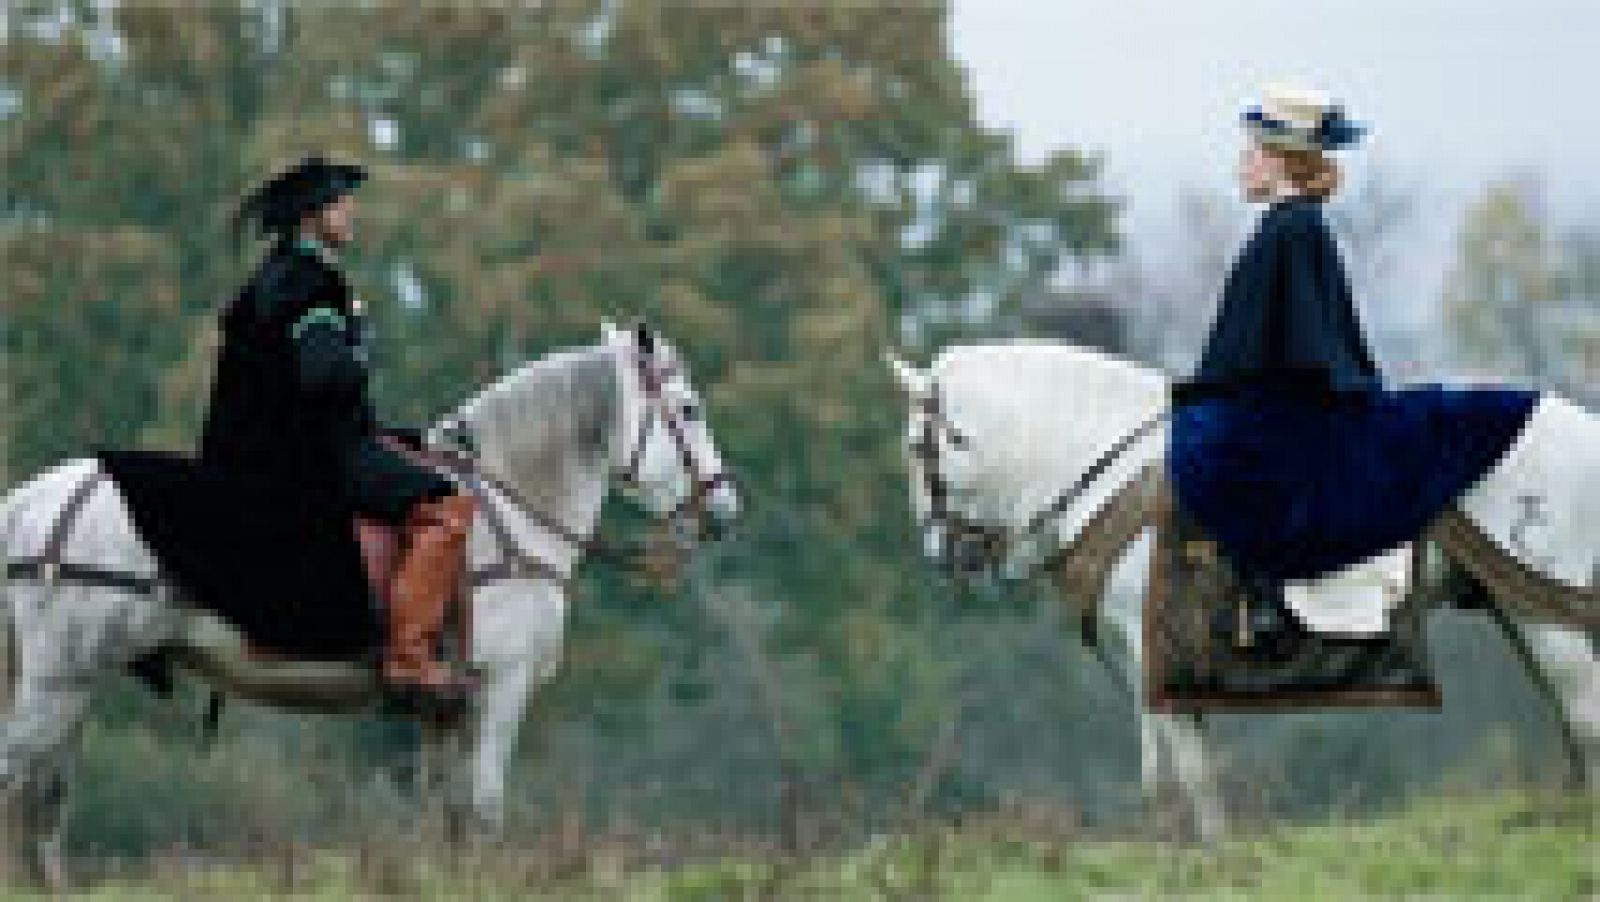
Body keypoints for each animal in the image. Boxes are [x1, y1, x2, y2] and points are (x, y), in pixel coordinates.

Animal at [0, 319, 736, 882]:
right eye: (689, 410)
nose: (726, 510)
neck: (508, 510)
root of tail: (37, 498)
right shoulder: (502, 687)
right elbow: (483, 811)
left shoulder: (443, 710)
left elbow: (445, 816)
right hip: (59, 682)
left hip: (72, 685)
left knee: (45, 801)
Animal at [889, 339, 1600, 838]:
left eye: (919, 446)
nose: (942, 556)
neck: (1119, 477)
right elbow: (1171, 768)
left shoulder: (1156, 653)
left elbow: (1194, 770)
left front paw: (1212, 854)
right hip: (1517, 611)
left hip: (1545, 617)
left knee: (1583, 712)